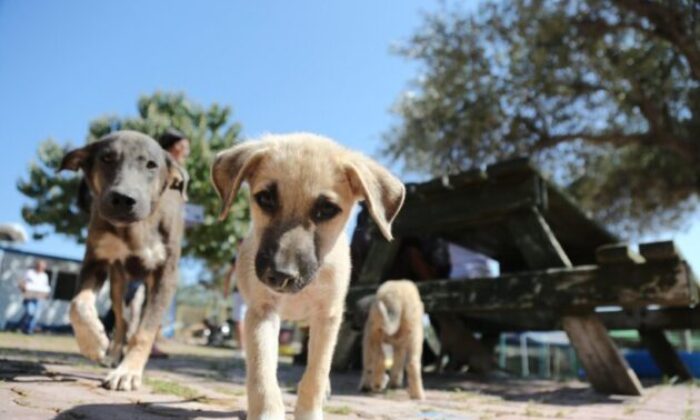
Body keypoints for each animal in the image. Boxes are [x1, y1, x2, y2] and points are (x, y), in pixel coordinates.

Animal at [59, 130, 187, 390]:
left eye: (151, 165)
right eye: (107, 158)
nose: (123, 199)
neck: (134, 228)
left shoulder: (165, 275)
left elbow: (145, 331)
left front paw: (128, 371)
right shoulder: (95, 259)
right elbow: (78, 304)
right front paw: (93, 343)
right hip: (118, 283)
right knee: (122, 320)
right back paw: (112, 353)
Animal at [211, 133, 404, 418]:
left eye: (326, 210)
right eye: (265, 198)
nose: (280, 275)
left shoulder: (327, 316)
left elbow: (317, 373)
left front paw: (310, 409)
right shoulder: (262, 312)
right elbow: (262, 373)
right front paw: (267, 411)